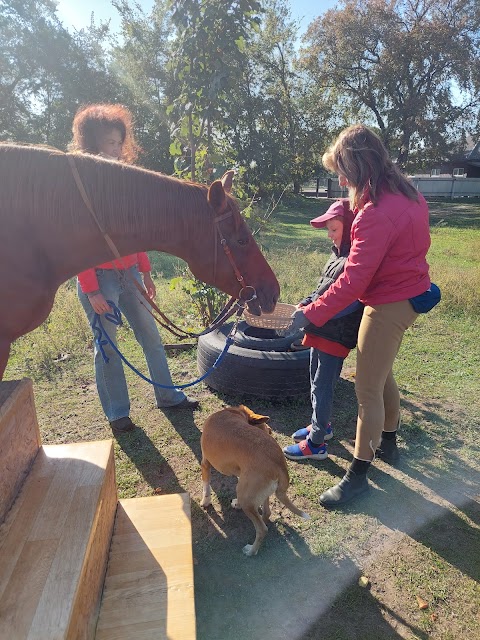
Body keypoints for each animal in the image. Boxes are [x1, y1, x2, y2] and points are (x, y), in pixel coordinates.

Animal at [200, 404, 310, 556]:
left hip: (246, 497)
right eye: (268, 430)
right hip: (255, 492)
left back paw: (251, 551)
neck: (235, 412)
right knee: (266, 514)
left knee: (262, 529)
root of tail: (279, 465)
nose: (270, 432)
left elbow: (206, 486)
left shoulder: (205, 463)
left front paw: (205, 501)